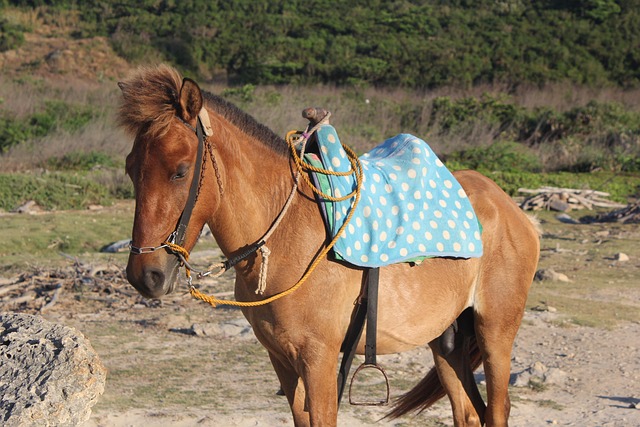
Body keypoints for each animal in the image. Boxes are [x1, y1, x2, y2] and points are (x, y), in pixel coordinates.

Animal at [118, 64, 540, 427]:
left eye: (180, 171)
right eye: (131, 168)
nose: (146, 275)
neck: (286, 239)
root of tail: (507, 205)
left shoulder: (318, 360)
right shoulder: (282, 361)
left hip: (495, 333)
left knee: (497, 410)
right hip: (446, 342)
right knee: (468, 413)